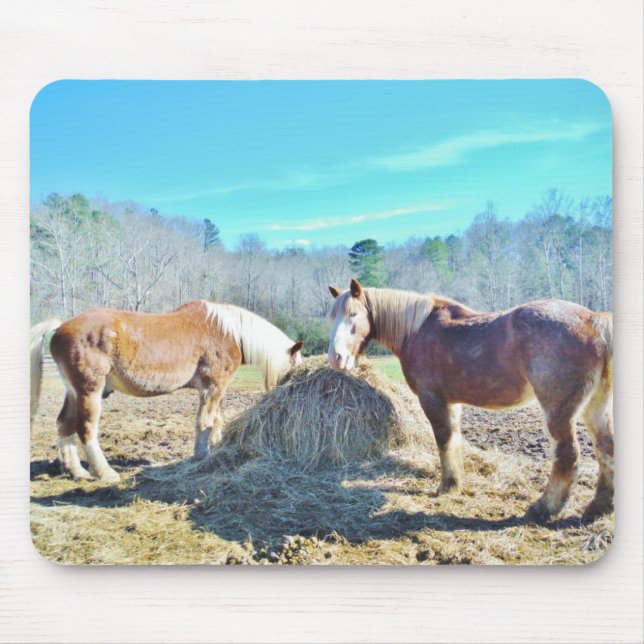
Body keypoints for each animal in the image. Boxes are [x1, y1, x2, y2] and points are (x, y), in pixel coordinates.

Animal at [31, 300, 303, 482]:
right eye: (294, 365)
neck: (229, 332)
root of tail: (61, 327)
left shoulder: (216, 388)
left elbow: (216, 419)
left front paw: (215, 446)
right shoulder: (214, 385)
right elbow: (205, 421)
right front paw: (201, 455)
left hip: (74, 392)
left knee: (64, 424)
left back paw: (76, 471)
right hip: (90, 391)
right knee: (85, 429)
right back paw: (104, 472)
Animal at [327, 279, 613, 522]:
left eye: (354, 315)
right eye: (333, 317)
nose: (335, 358)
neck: (417, 330)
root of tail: (593, 319)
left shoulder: (432, 400)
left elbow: (443, 441)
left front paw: (447, 486)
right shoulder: (452, 404)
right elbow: (454, 440)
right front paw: (456, 481)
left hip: (559, 412)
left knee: (568, 455)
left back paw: (544, 508)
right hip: (595, 408)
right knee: (605, 449)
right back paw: (598, 508)